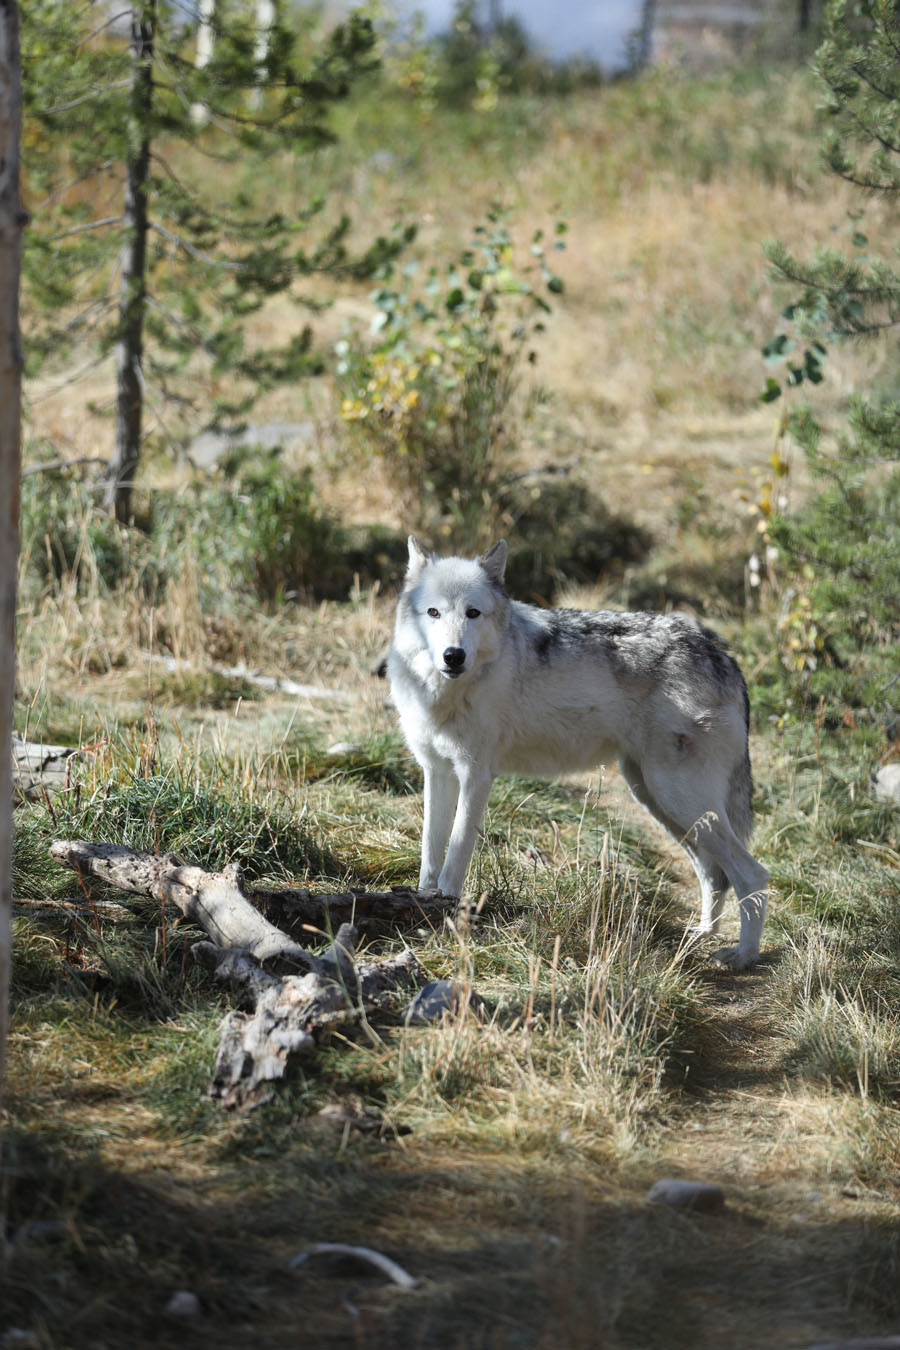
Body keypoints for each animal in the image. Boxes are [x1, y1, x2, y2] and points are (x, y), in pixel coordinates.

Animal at [387, 537, 769, 970]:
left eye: (473, 613)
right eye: (433, 613)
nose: (454, 655)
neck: (449, 692)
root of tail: (723, 653)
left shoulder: (476, 775)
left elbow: (456, 854)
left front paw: (449, 916)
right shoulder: (437, 771)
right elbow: (430, 853)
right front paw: (425, 904)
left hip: (678, 798)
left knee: (751, 873)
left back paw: (743, 955)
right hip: (661, 800)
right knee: (713, 873)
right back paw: (702, 935)